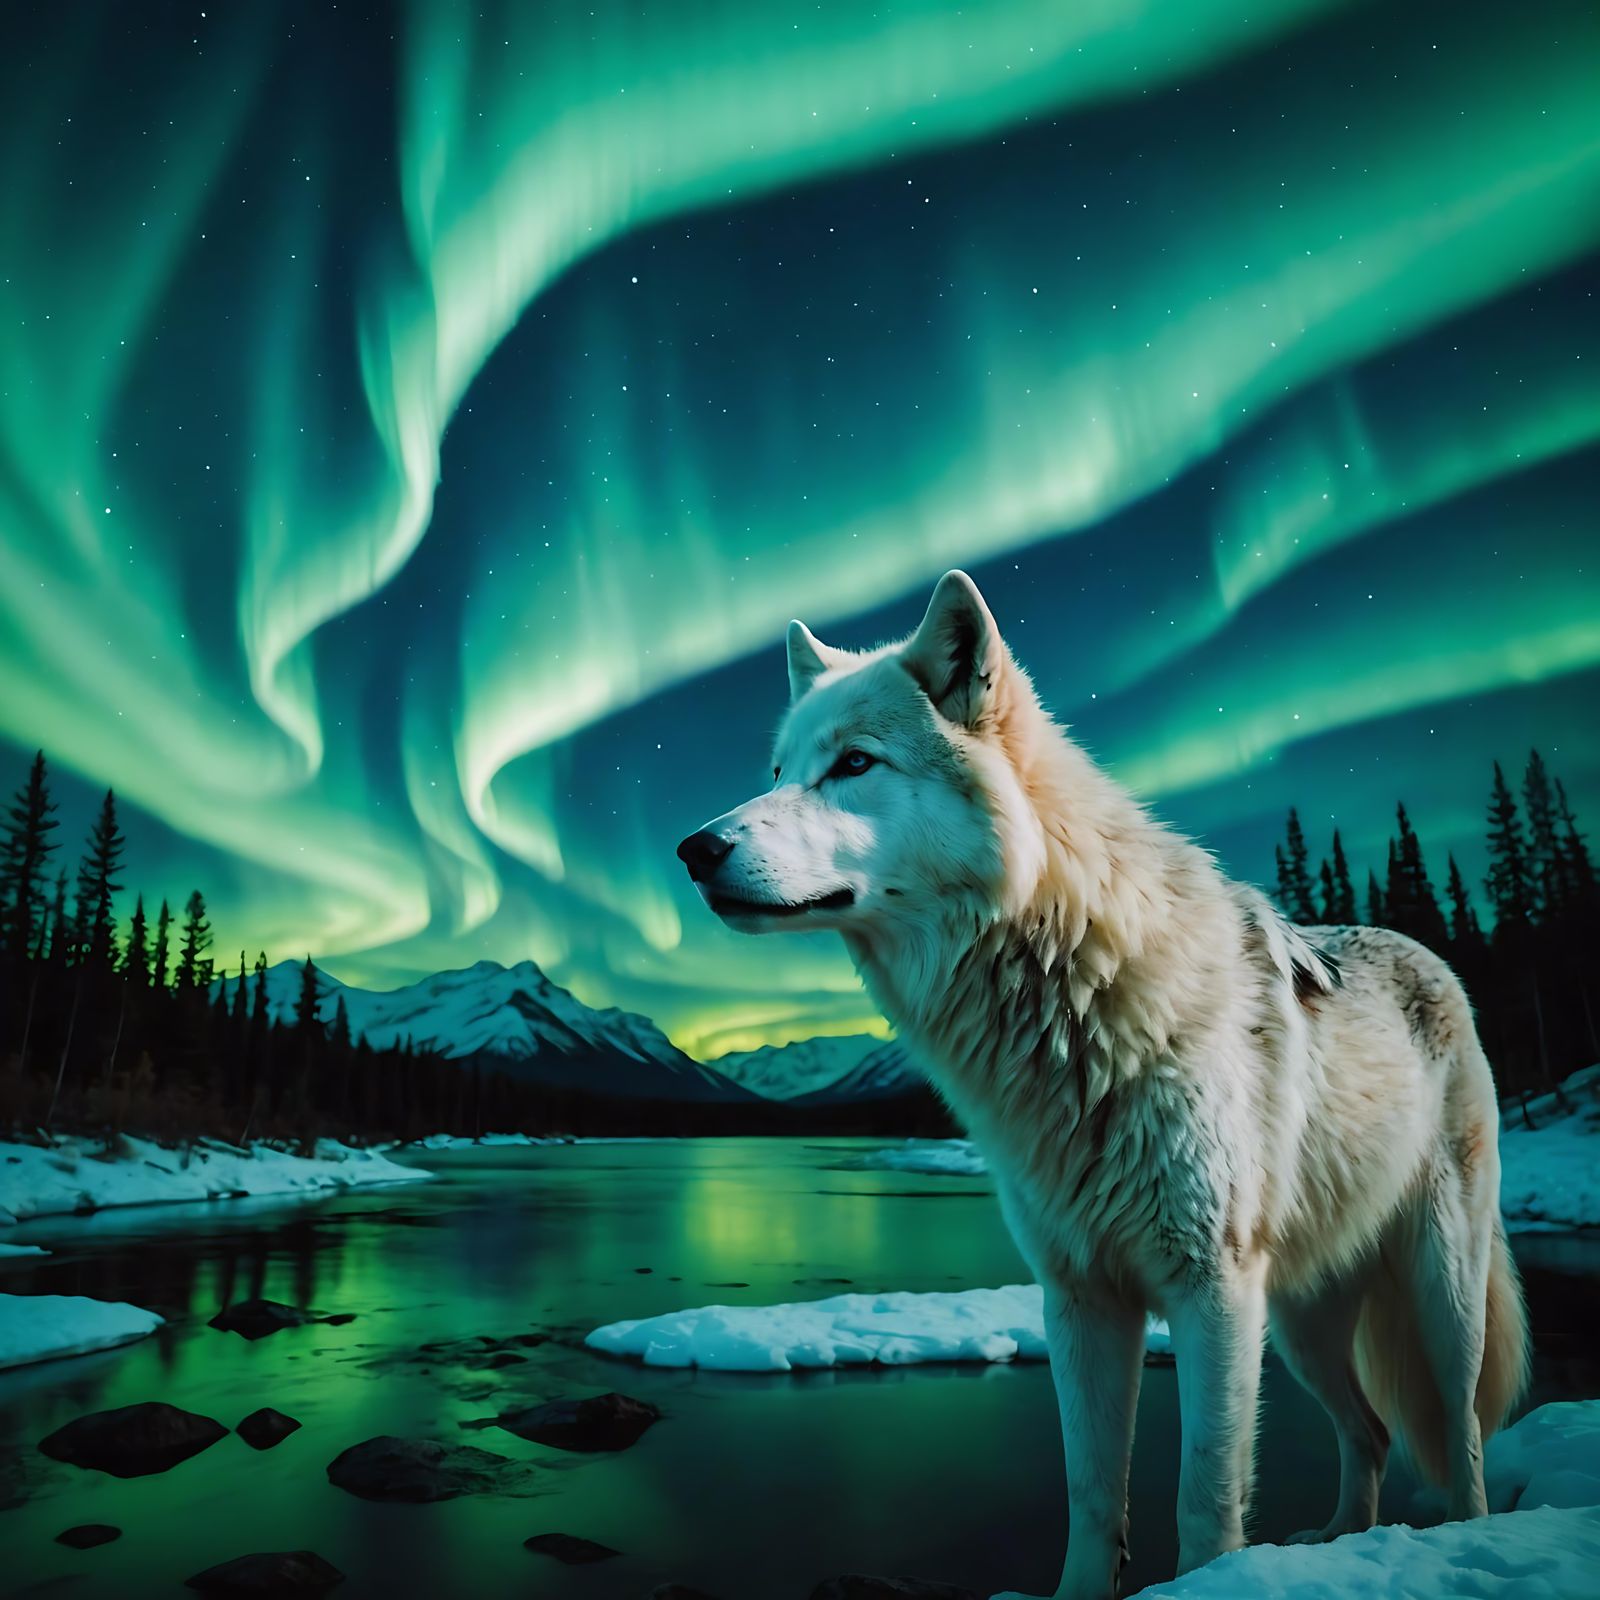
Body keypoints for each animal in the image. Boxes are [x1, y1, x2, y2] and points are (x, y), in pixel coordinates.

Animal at [676, 571, 1528, 1599]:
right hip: (1299, 1323)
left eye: (853, 764)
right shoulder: (1080, 1296)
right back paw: (1334, 1541)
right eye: (774, 771)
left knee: (1460, 1431)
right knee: (1365, 1430)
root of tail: (1429, 956)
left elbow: (1204, 1499)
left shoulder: (1211, 1290)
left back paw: (1459, 1533)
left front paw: (1211, 1581)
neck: (1073, 995)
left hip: (1437, 1290)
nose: (693, 849)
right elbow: (1091, 1494)